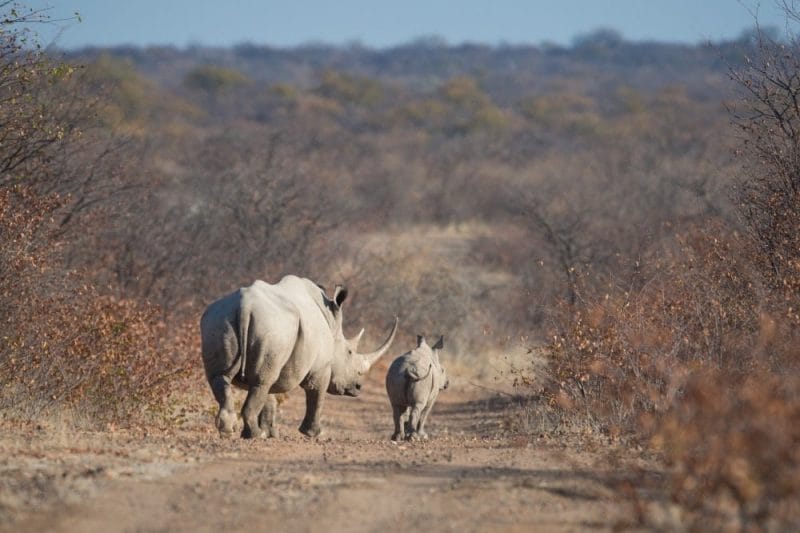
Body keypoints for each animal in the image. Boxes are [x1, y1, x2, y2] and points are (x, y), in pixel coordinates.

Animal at [202, 274, 398, 436]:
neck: (332, 324)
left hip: (221, 320)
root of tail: (245, 305)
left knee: (224, 377)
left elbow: (269, 398)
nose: (358, 387)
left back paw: (229, 431)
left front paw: (271, 434)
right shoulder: (321, 367)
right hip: (272, 328)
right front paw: (316, 433)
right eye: (349, 352)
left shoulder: (278, 361)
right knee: (260, 382)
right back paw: (253, 435)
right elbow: (316, 395)